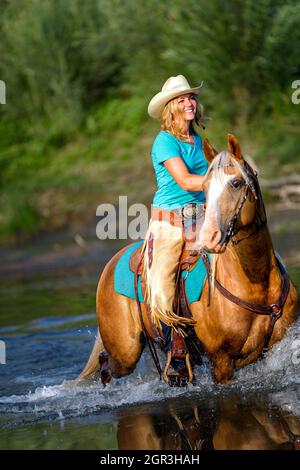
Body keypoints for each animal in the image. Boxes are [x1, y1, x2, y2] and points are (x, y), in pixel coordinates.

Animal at [79, 134, 298, 384]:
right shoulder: (221, 362)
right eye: (205, 187)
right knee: (105, 363)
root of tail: (112, 262)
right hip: (125, 352)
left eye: (236, 183)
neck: (256, 283)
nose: (210, 237)